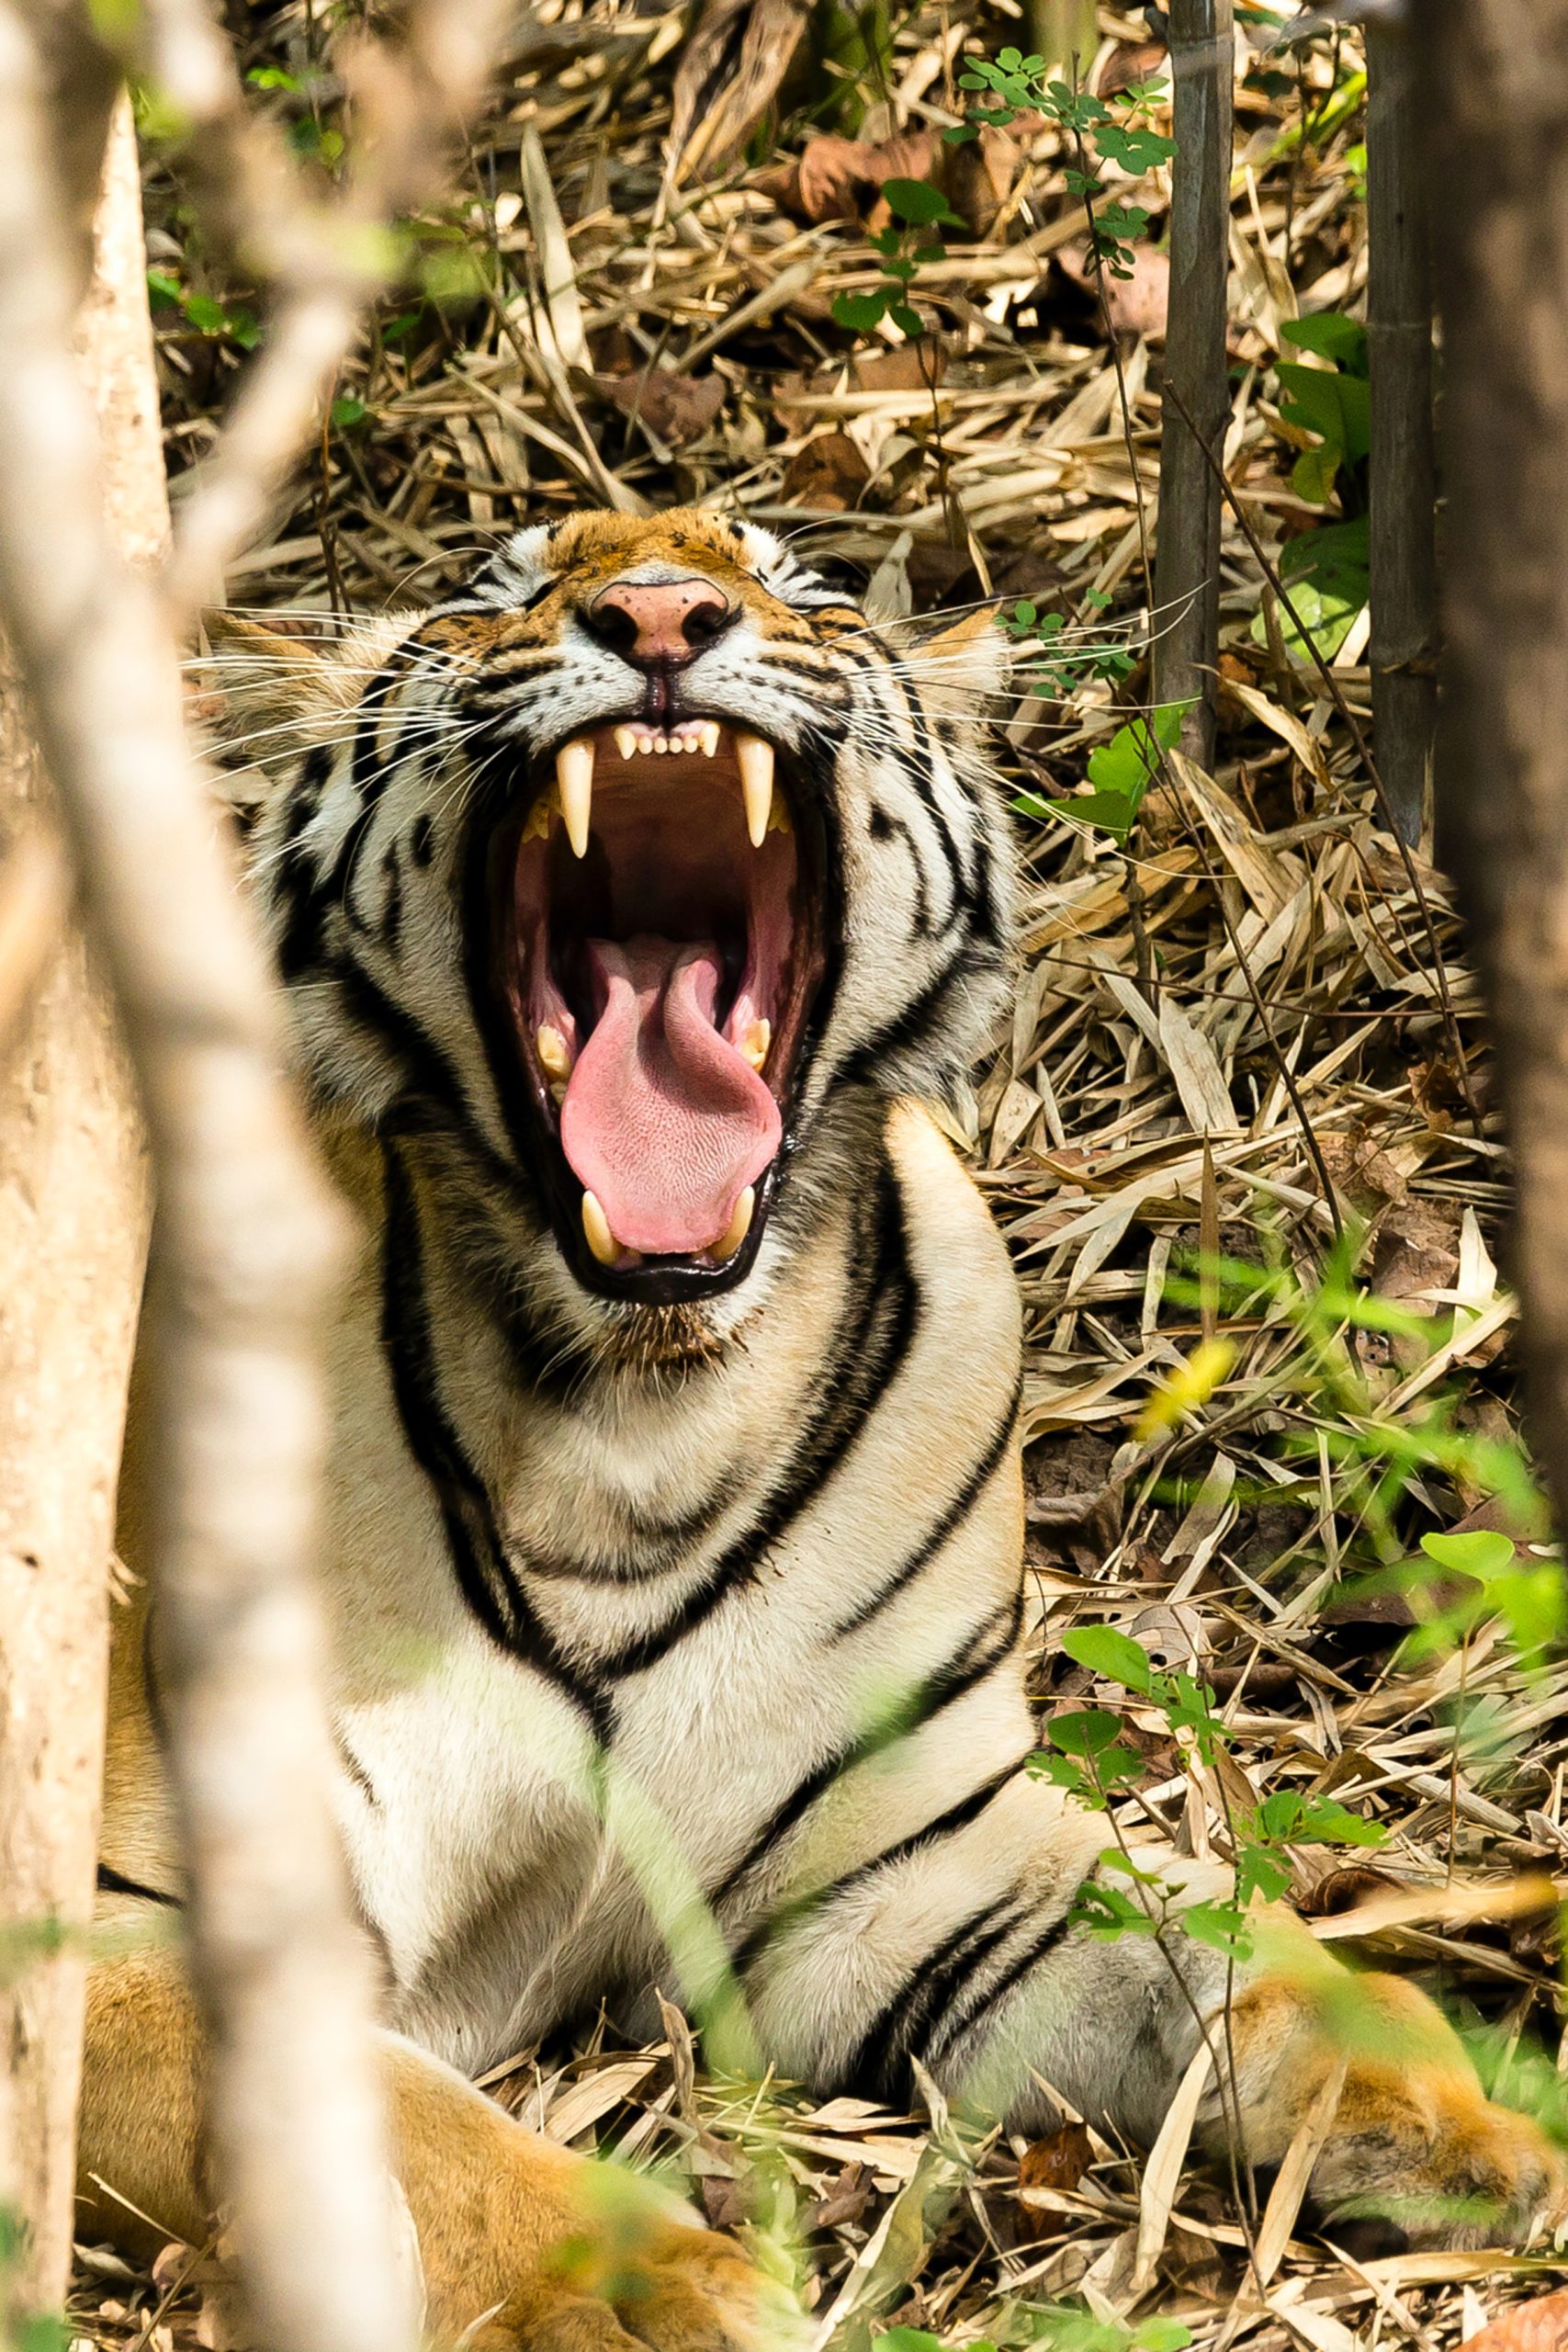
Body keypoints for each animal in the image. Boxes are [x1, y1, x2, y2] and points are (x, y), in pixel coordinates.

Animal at [88, 514, 1568, 2352]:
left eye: (788, 580)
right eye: (501, 589)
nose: (660, 614)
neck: (632, 1412)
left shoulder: (899, 1872)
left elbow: (1230, 1955)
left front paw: (1453, 2117)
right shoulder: (145, 1930)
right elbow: (426, 2141)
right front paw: (665, 2299)